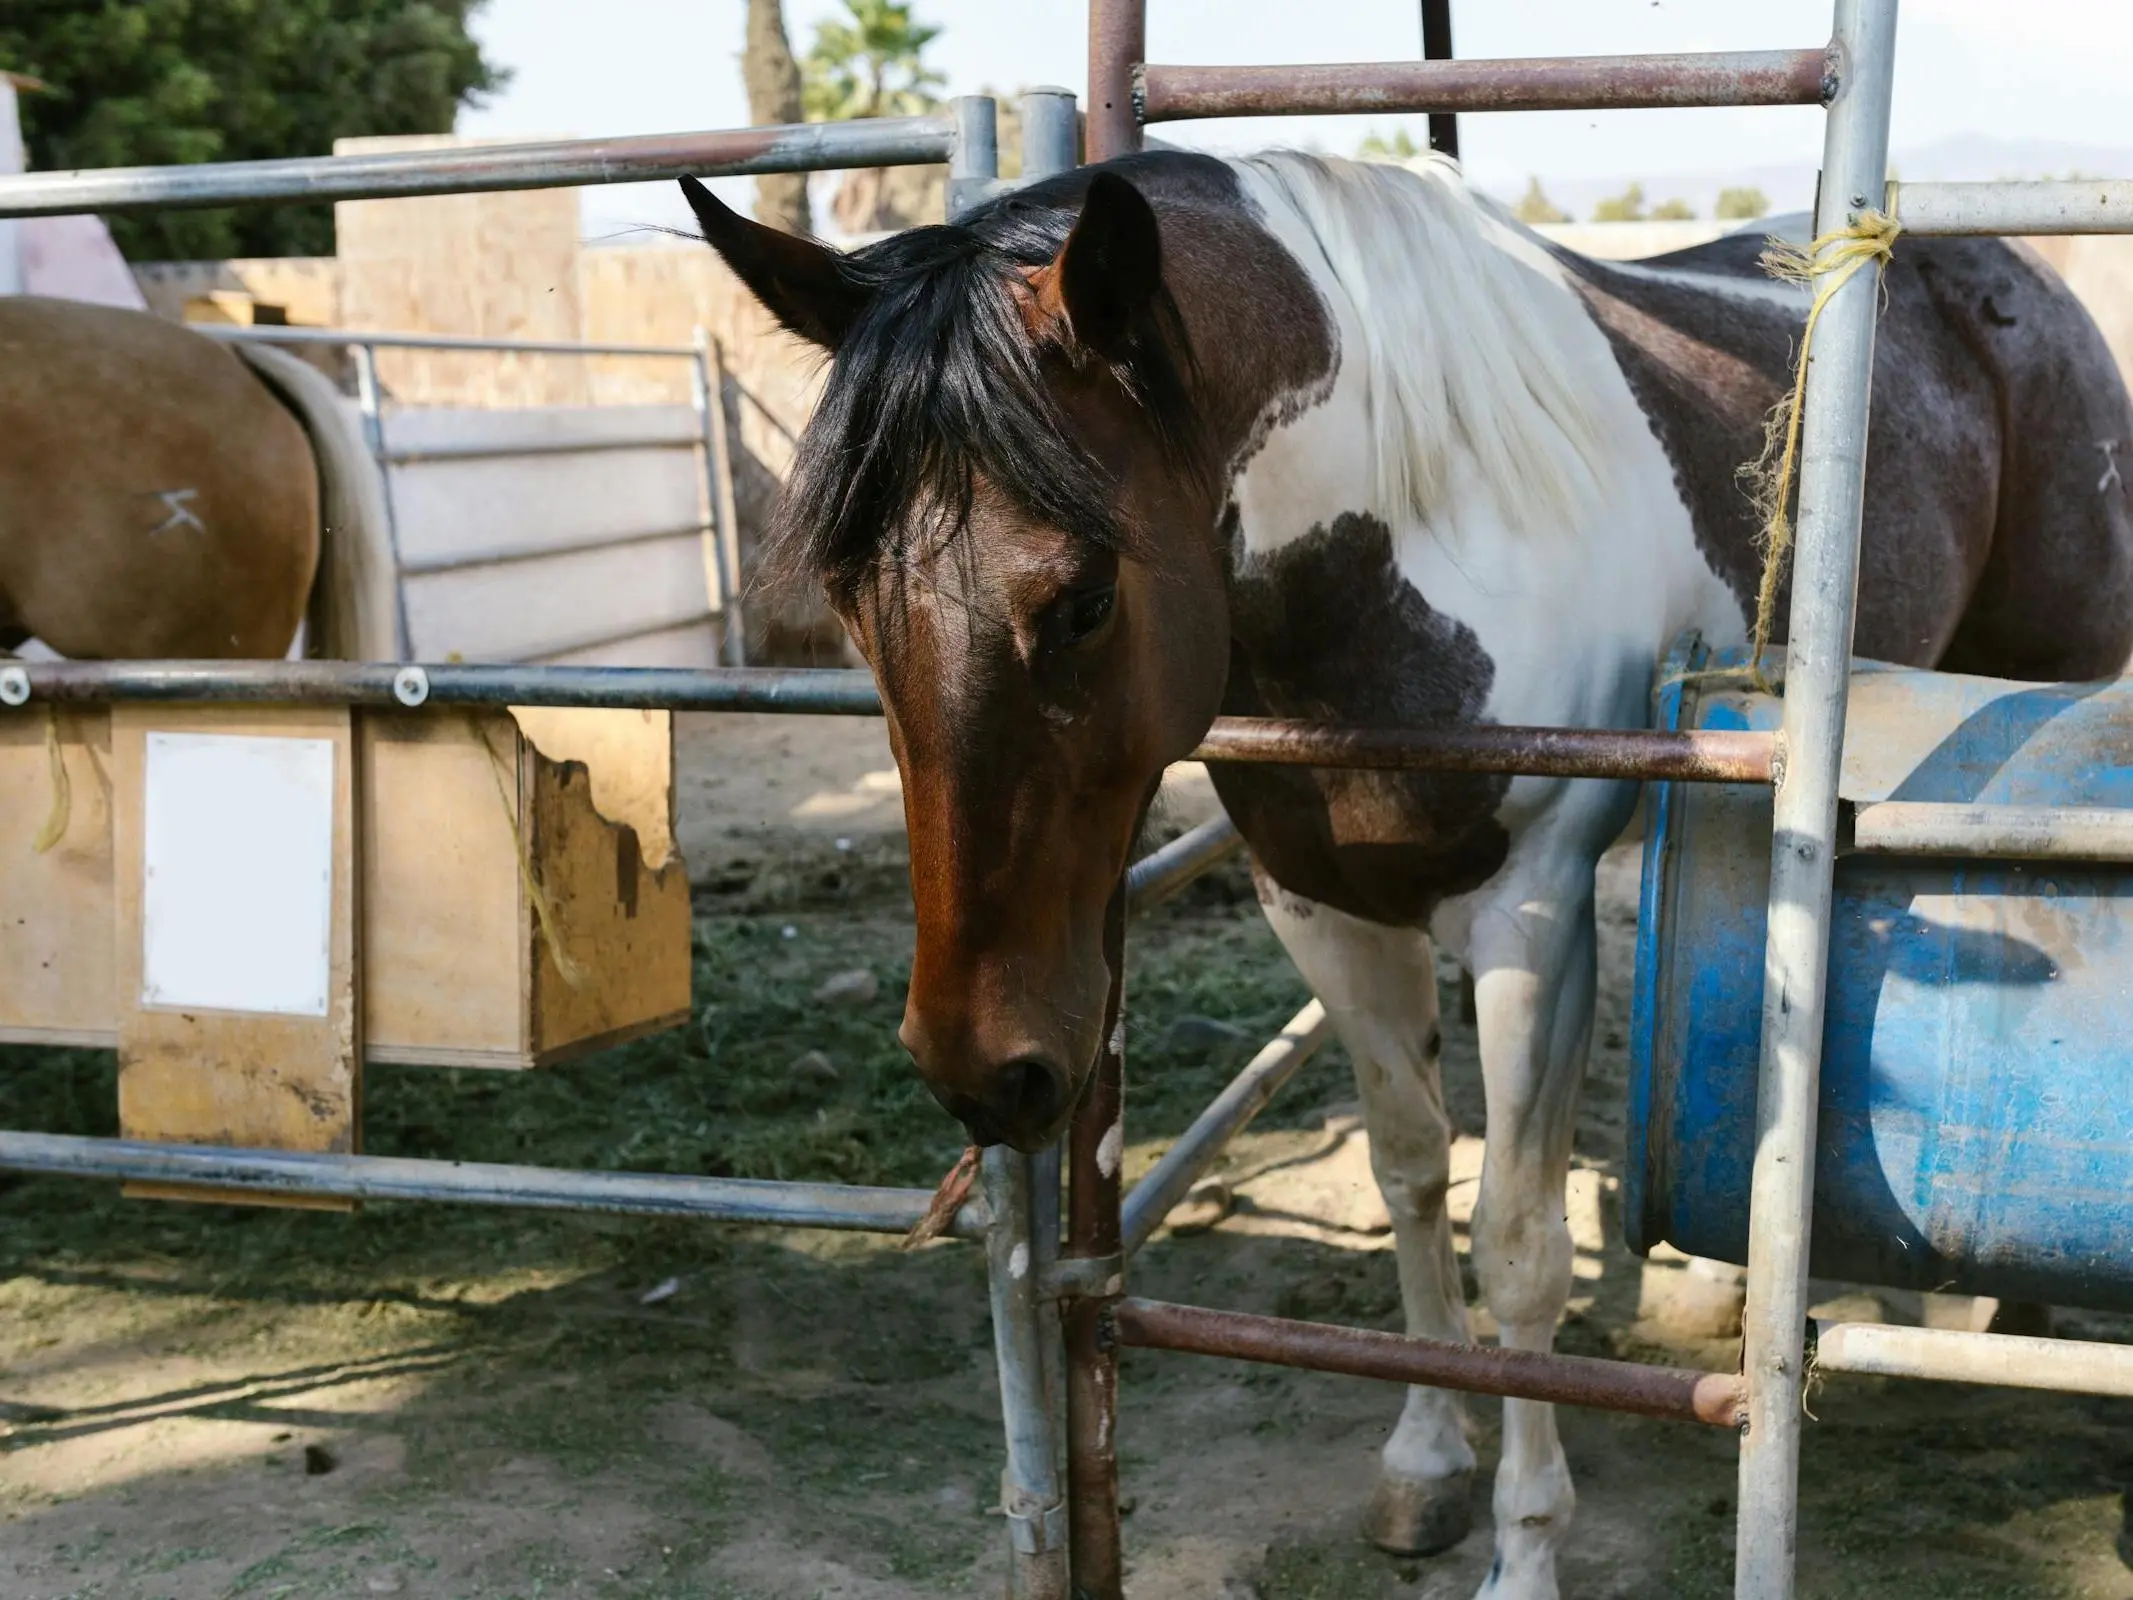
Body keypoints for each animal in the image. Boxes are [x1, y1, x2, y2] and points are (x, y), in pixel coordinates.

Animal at [678, 153, 2133, 1600]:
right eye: (850, 605)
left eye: (1084, 600)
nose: (983, 1069)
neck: (1405, 537)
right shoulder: (1321, 906)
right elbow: (1410, 1174)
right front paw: (1428, 1455)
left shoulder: (1534, 920)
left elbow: (1520, 1243)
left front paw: (1526, 1545)